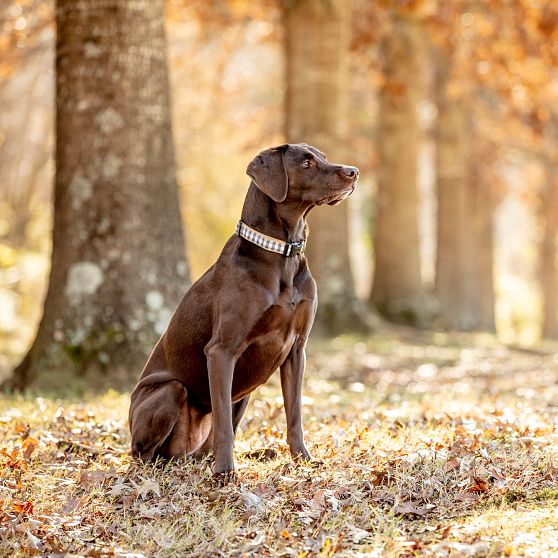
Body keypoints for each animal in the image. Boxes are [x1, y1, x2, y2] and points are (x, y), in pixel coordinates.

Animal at [128, 143, 358, 476]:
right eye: (306, 163)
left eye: (323, 156)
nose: (354, 171)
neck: (282, 254)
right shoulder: (222, 351)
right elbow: (224, 424)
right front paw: (225, 473)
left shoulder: (296, 350)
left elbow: (294, 414)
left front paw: (302, 459)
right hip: (170, 390)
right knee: (145, 454)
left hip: (244, 393)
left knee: (199, 451)